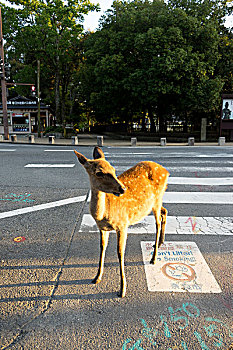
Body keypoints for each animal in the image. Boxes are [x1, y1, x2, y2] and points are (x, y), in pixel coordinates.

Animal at [74, 146, 169, 296]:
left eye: (113, 169)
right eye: (99, 172)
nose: (123, 188)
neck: (102, 215)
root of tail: (166, 171)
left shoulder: (123, 224)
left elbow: (120, 253)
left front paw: (122, 288)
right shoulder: (102, 228)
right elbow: (102, 248)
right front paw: (97, 277)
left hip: (157, 199)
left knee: (158, 222)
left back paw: (153, 258)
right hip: (155, 202)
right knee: (164, 212)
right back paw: (159, 244)